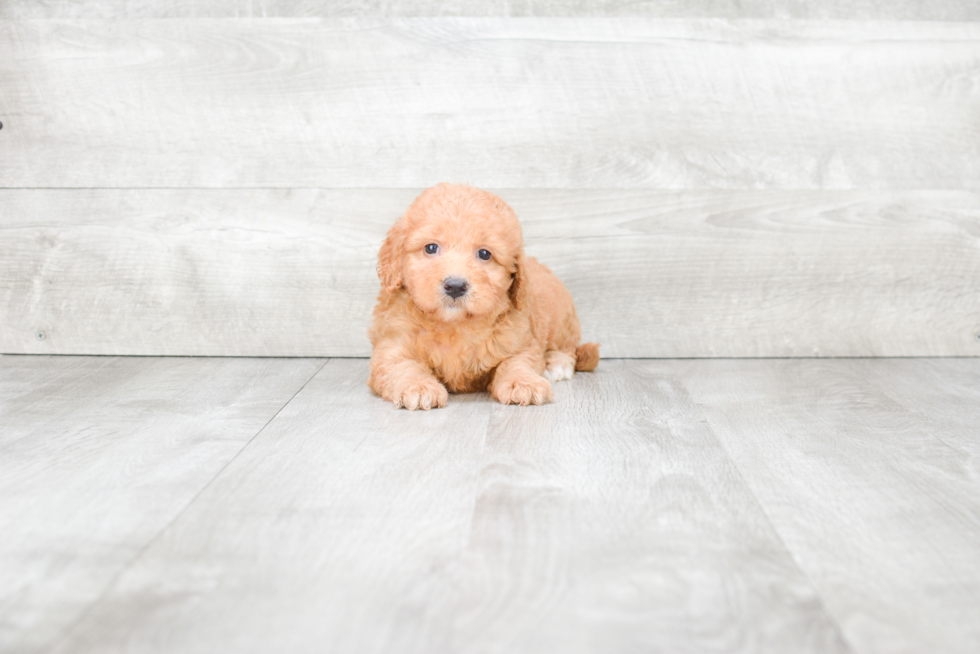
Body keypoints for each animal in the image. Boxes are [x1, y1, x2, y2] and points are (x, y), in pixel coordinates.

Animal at [368, 183, 596, 410]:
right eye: (431, 248)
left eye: (484, 254)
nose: (455, 286)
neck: (453, 325)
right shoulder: (392, 345)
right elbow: (403, 366)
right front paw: (419, 386)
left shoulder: (519, 342)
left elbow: (517, 363)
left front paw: (524, 383)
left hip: (561, 318)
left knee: (567, 346)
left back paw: (557, 363)